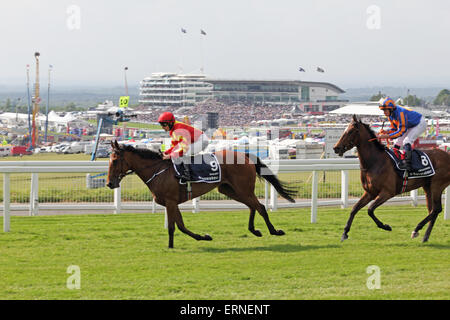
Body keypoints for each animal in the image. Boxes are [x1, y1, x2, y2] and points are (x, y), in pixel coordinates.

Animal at [105, 141, 296, 249]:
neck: (157, 170)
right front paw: (203, 237)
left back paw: (274, 231)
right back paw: (254, 230)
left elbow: (174, 227)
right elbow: (181, 226)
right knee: (252, 206)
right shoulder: (172, 203)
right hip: (229, 189)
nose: (109, 183)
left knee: (260, 206)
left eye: (115, 160)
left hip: (242, 188)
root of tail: (246, 155)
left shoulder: (170, 201)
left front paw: (170, 246)